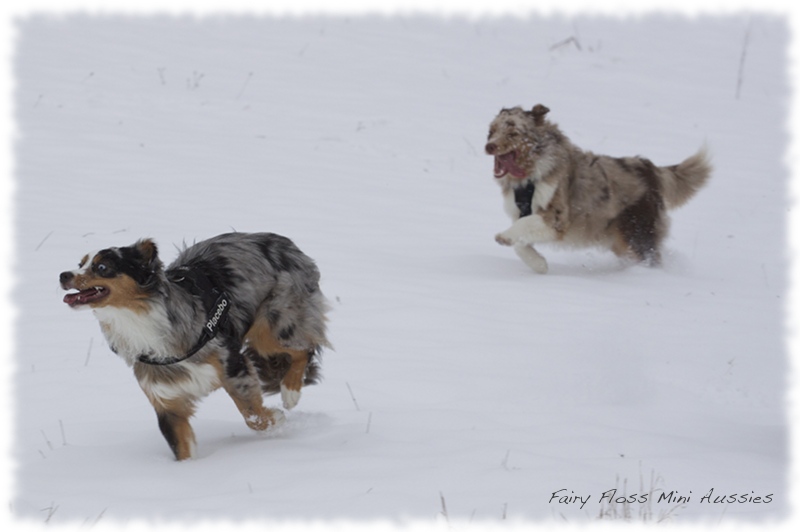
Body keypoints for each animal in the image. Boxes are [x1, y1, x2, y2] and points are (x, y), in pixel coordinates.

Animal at [58, 233, 328, 462]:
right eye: (80, 263)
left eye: (102, 267)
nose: (63, 275)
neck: (137, 320)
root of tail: (282, 241)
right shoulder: (166, 399)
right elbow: (182, 448)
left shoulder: (233, 365)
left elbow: (252, 415)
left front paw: (276, 420)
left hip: (274, 326)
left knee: (303, 348)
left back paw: (290, 392)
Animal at [484, 104, 708, 272]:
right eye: (492, 131)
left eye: (513, 133)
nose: (489, 146)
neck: (529, 175)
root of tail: (649, 168)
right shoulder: (520, 212)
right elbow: (521, 243)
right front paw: (539, 264)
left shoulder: (557, 217)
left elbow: (525, 225)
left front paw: (504, 237)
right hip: (620, 239)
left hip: (636, 232)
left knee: (650, 258)